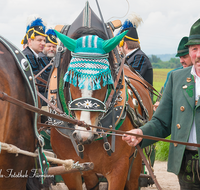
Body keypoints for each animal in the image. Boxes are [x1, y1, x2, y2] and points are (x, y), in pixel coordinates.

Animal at [50, 27, 153, 190]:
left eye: (104, 81)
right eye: (72, 80)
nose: (83, 134)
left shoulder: (119, 168)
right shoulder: (70, 169)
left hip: (136, 158)